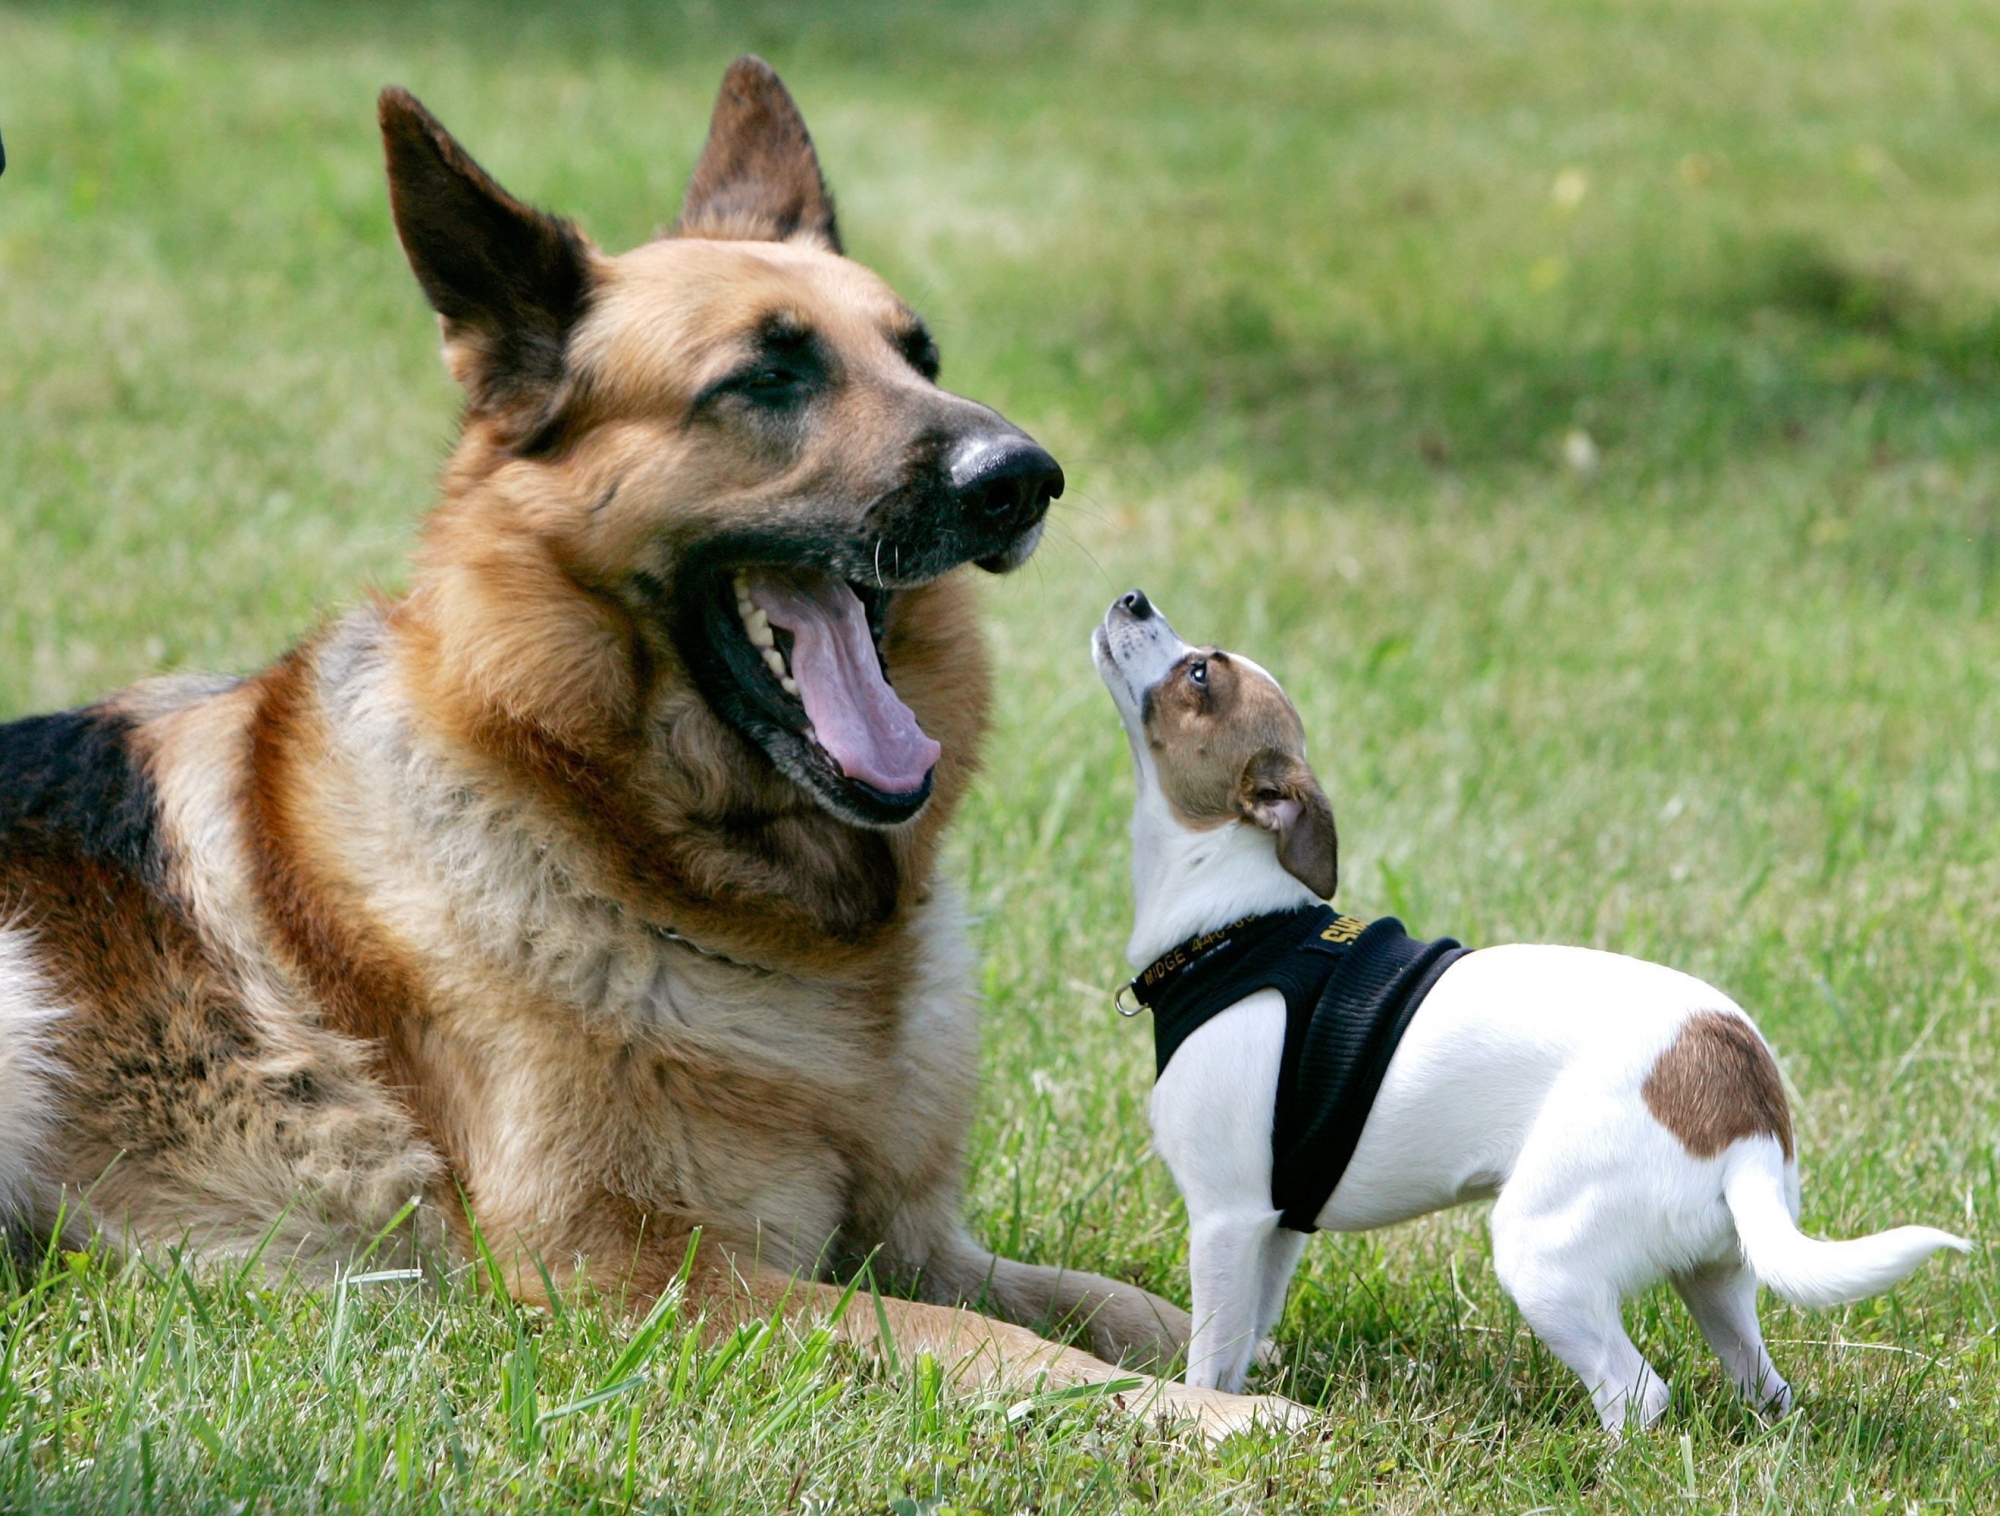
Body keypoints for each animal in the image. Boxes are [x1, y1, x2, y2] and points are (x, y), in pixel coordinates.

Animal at [0, 59, 1288, 1440]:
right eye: (766, 378)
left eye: (921, 356)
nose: (1027, 477)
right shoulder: (636, 1270)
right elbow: (983, 1344)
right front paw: (1217, 1419)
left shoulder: (913, 1239)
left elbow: (1109, 1302)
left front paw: (1229, 1359)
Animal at [1096, 592, 1968, 1440]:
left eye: (1200, 675)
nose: (1132, 599)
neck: (1235, 925)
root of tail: (1740, 1097)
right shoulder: (1276, 1226)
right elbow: (1247, 1341)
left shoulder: (1227, 1218)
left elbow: (1210, 1360)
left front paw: (1201, 1418)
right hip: (1718, 1277)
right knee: (1764, 1386)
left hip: (1542, 1255)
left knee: (1638, 1394)